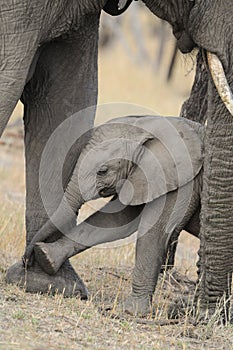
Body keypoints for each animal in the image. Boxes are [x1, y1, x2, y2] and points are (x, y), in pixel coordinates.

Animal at [22, 115, 203, 318]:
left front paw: (132, 311)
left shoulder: (184, 180)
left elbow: (154, 232)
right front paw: (46, 256)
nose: (26, 260)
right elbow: (116, 221)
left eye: (103, 171)